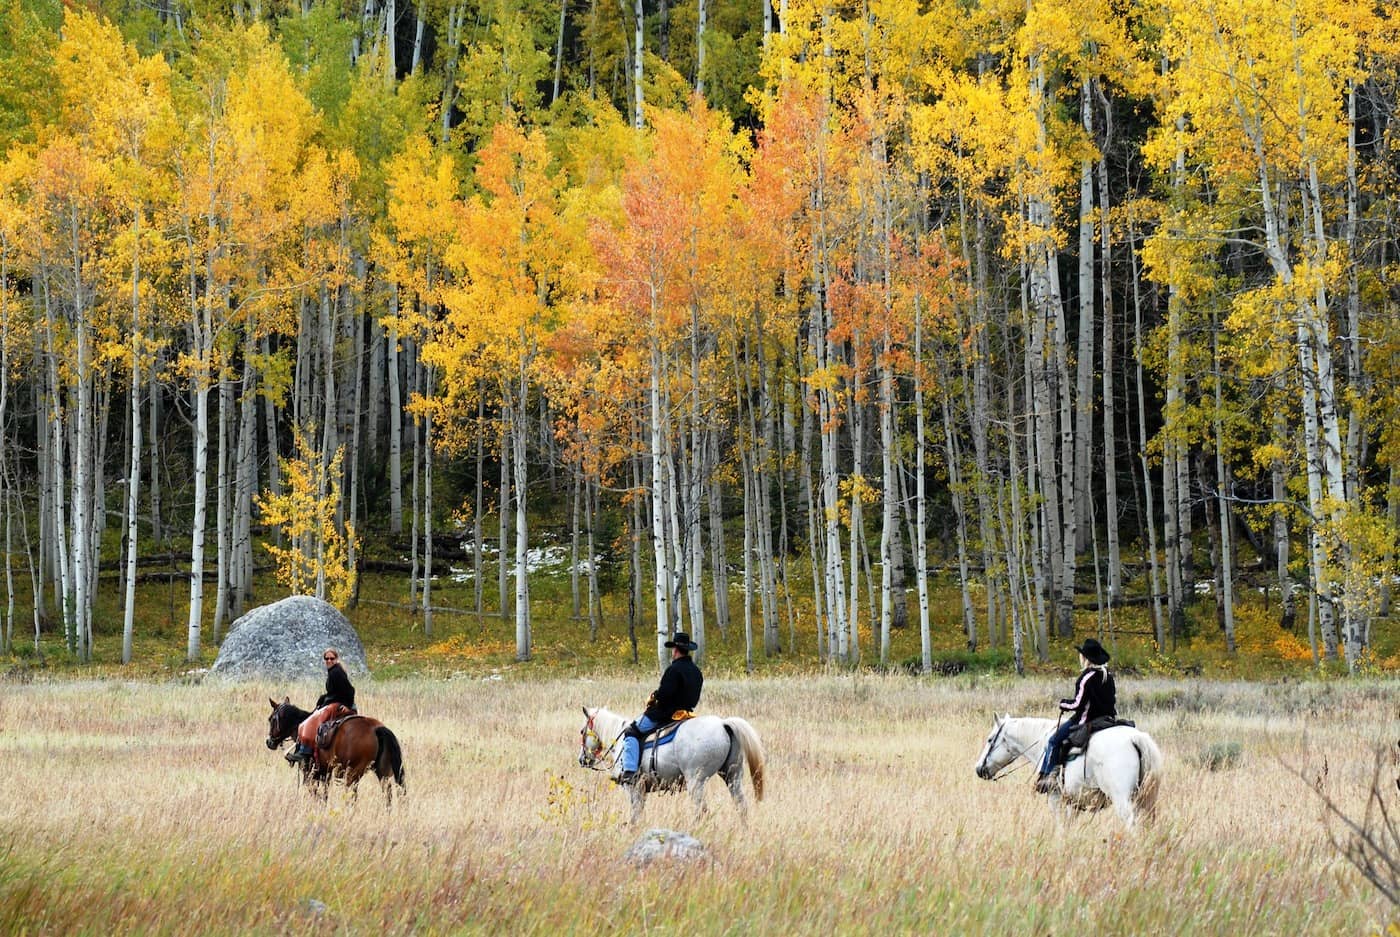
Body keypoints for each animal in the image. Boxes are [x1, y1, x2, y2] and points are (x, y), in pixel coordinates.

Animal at [264, 697, 406, 801]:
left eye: (271, 719)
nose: (269, 742)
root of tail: (376, 729)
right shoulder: (325, 772)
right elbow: (325, 793)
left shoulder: (310, 772)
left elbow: (315, 792)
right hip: (381, 772)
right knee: (387, 792)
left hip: (353, 774)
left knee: (352, 796)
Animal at [576, 705, 767, 823]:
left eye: (582, 731)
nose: (582, 760)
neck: (621, 739)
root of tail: (723, 724)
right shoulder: (642, 790)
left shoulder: (633, 788)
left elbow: (635, 815)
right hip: (732, 776)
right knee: (741, 806)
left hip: (696, 781)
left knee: (701, 811)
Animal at [974, 711, 1159, 829]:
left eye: (990, 739)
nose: (979, 769)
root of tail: (1135, 738)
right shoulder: (1074, 803)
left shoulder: (1054, 797)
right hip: (1145, 800)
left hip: (1122, 800)